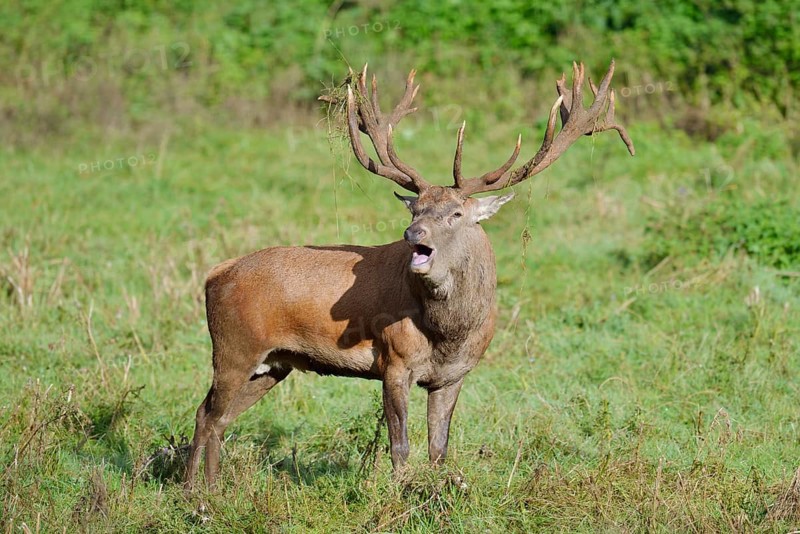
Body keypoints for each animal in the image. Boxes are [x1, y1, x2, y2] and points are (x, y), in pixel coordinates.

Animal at [184, 60, 635, 490]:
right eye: (416, 208)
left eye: (456, 214)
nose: (412, 233)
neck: (449, 333)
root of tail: (214, 274)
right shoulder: (394, 360)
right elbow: (399, 447)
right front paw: (402, 495)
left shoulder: (453, 375)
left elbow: (439, 448)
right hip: (235, 347)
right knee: (209, 412)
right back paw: (199, 495)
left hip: (274, 363)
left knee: (215, 416)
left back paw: (204, 490)